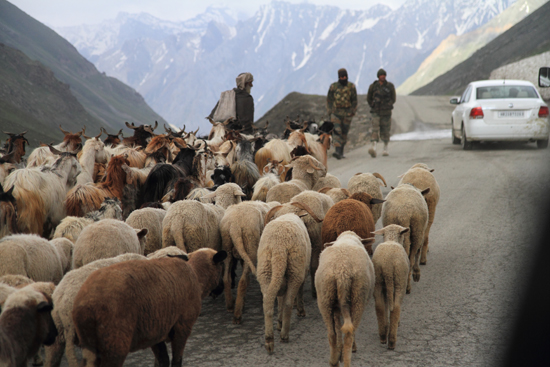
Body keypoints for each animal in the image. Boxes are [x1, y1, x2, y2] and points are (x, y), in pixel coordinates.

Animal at [258, 214, 310, 356]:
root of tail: (278, 245)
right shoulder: (302, 273)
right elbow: (297, 294)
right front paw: (301, 311)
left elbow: (279, 299)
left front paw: (279, 323)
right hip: (295, 270)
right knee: (288, 303)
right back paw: (284, 335)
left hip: (265, 269)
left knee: (268, 302)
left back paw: (269, 340)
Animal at [316, 231, 378, 367]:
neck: (347, 238)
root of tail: (342, 272)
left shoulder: (336, 308)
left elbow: (338, 327)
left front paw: (339, 352)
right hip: (358, 297)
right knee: (350, 334)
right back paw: (347, 358)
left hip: (325, 297)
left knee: (331, 334)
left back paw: (334, 360)